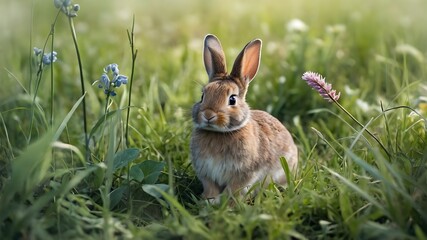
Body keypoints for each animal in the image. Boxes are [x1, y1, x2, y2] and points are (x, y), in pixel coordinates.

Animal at [191, 33, 298, 202]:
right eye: (202, 96)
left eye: (232, 99)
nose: (208, 115)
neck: (219, 133)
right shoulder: (207, 174)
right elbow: (210, 188)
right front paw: (208, 201)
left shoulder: (244, 174)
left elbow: (233, 191)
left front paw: (225, 204)